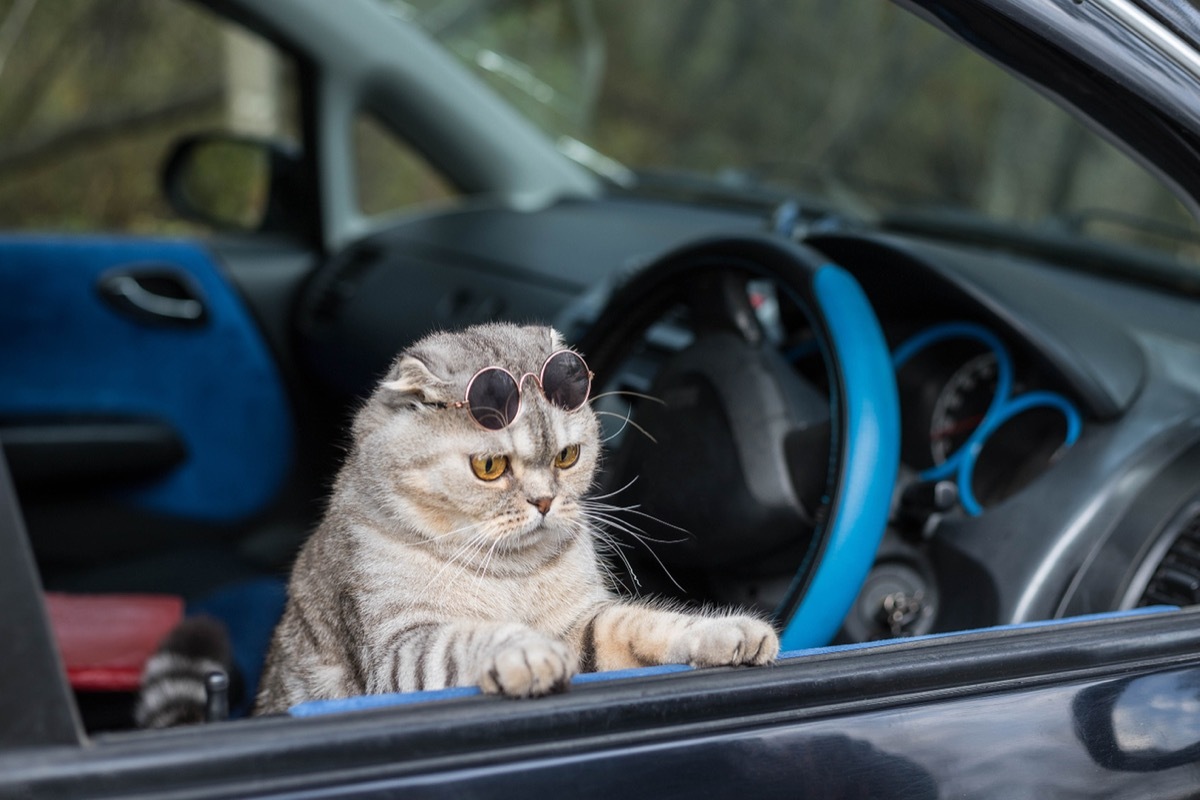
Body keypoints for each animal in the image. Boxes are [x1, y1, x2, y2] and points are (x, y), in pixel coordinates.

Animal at [252, 321, 777, 714]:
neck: (512, 570)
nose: (544, 502)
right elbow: (467, 639)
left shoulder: (583, 622)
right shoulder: (400, 648)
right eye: (490, 467)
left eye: (567, 456)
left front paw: (727, 631)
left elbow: (642, 624)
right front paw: (526, 651)